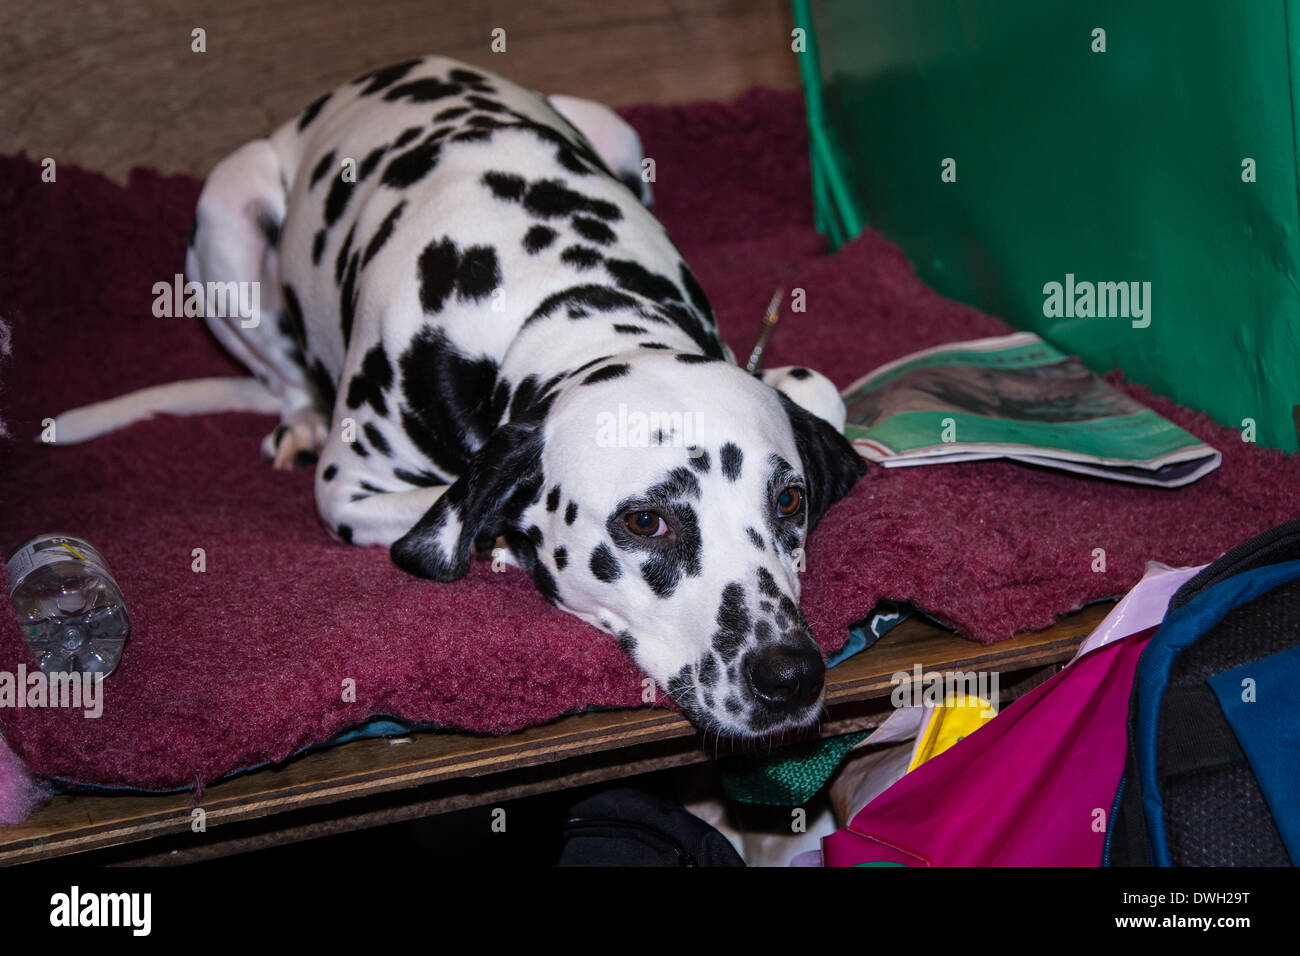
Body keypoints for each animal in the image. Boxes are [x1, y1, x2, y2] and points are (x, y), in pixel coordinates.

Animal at [53, 54, 863, 738]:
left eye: (788, 500)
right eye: (645, 523)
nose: (790, 675)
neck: (557, 297)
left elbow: (818, 387)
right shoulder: (349, 494)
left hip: (614, 128)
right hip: (228, 215)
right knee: (282, 374)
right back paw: (301, 416)